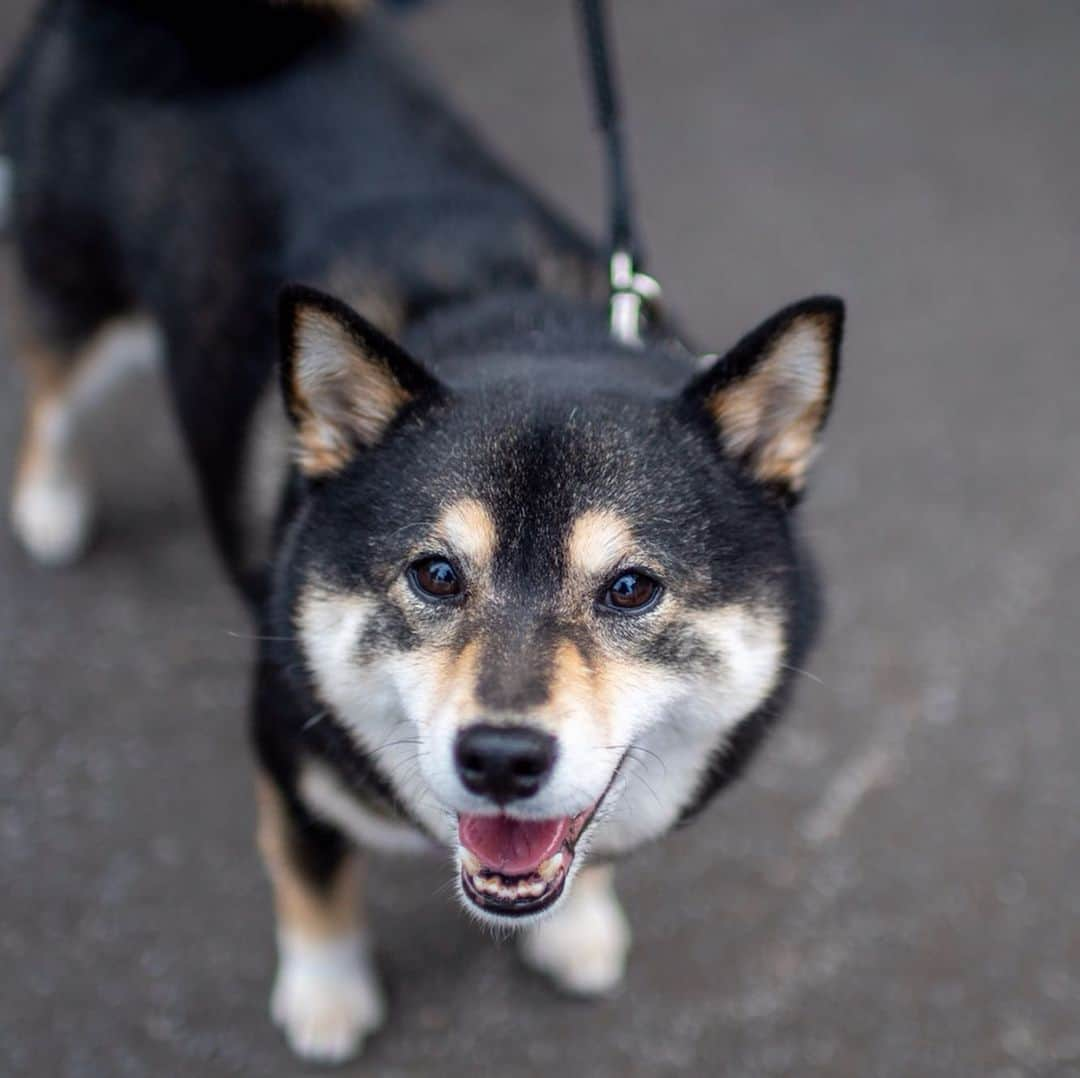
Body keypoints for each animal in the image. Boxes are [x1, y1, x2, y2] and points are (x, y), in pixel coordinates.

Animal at [4, 0, 842, 1062]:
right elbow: (313, 882)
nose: (502, 760)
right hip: (84, 297)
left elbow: (592, 838)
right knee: (51, 389)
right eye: (437, 576)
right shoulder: (287, 754)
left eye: (632, 589)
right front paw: (326, 997)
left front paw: (579, 926)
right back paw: (49, 501)